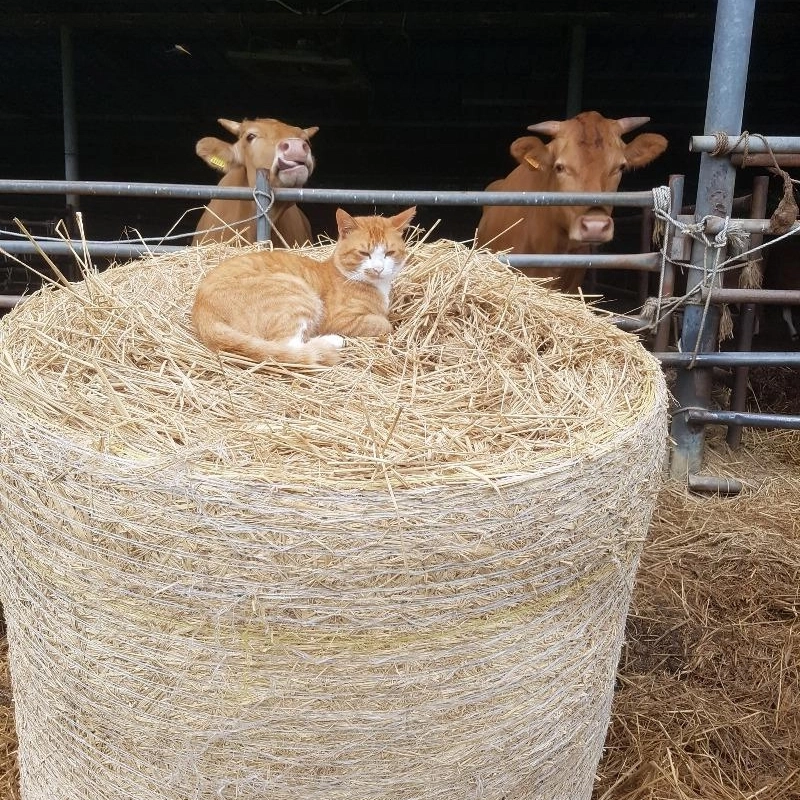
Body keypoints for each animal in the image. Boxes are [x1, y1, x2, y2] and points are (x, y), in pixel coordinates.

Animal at [194, 208, 416, 368]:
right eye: (364, 253)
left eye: (389, 253)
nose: (378, 269)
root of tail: (201, 308)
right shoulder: (343, 320)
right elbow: (384, 324)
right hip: (295, 295)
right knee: (288, 346)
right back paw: (331, 342)